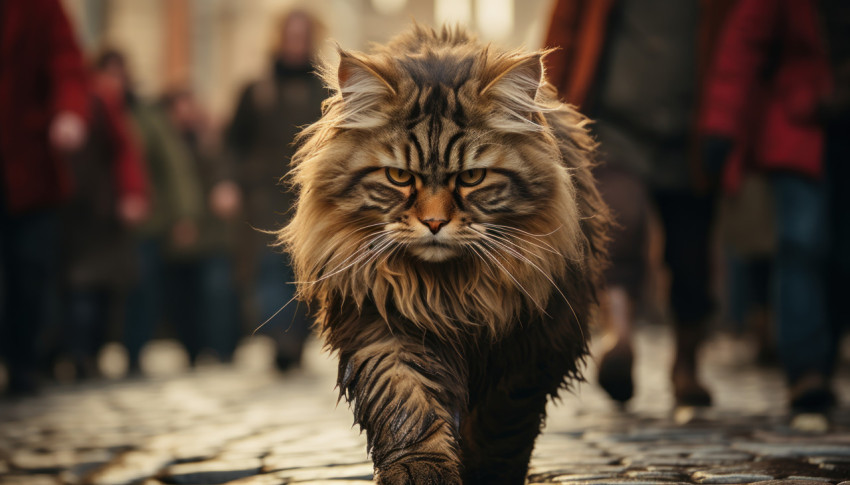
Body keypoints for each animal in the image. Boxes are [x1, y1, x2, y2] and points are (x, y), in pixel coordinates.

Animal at [282, 25, 608, 484]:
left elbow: (501, 425)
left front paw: (487, 471)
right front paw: (421, 467)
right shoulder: (387, 325)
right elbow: (407, 405)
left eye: (472, 177)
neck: (450, 292)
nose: (434, 222)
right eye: (398, 176)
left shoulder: (534, 348)